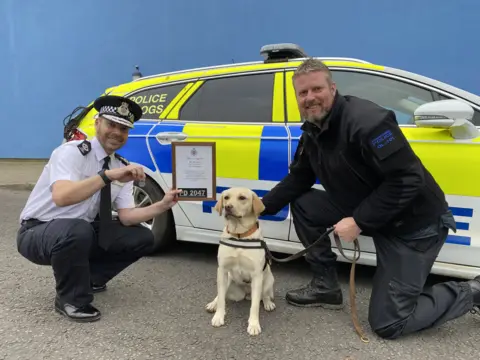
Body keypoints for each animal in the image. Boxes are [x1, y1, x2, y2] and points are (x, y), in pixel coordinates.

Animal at [204, 187, 276, 336]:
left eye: (242, 198)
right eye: (226, 197)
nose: (227, 207)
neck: (239, 236)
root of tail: (246, 293)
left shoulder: (257, 275)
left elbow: (255, 306)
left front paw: (253, 324)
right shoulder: (222, 270)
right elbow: (221, 300)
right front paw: (218, 316)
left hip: (268, 280)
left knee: (264, 295)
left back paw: (268, 303)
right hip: (229, 282)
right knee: (220, 295)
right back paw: (213, 304)